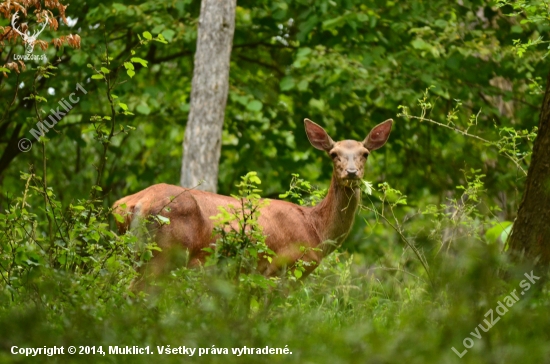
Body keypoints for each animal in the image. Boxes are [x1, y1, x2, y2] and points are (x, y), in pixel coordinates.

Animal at [114, 118, 394, 282]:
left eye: (365, 153)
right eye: (334, 153)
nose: (351, 172)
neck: (316, 229)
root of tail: (134, 204)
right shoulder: (284, 267)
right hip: (163, 253)